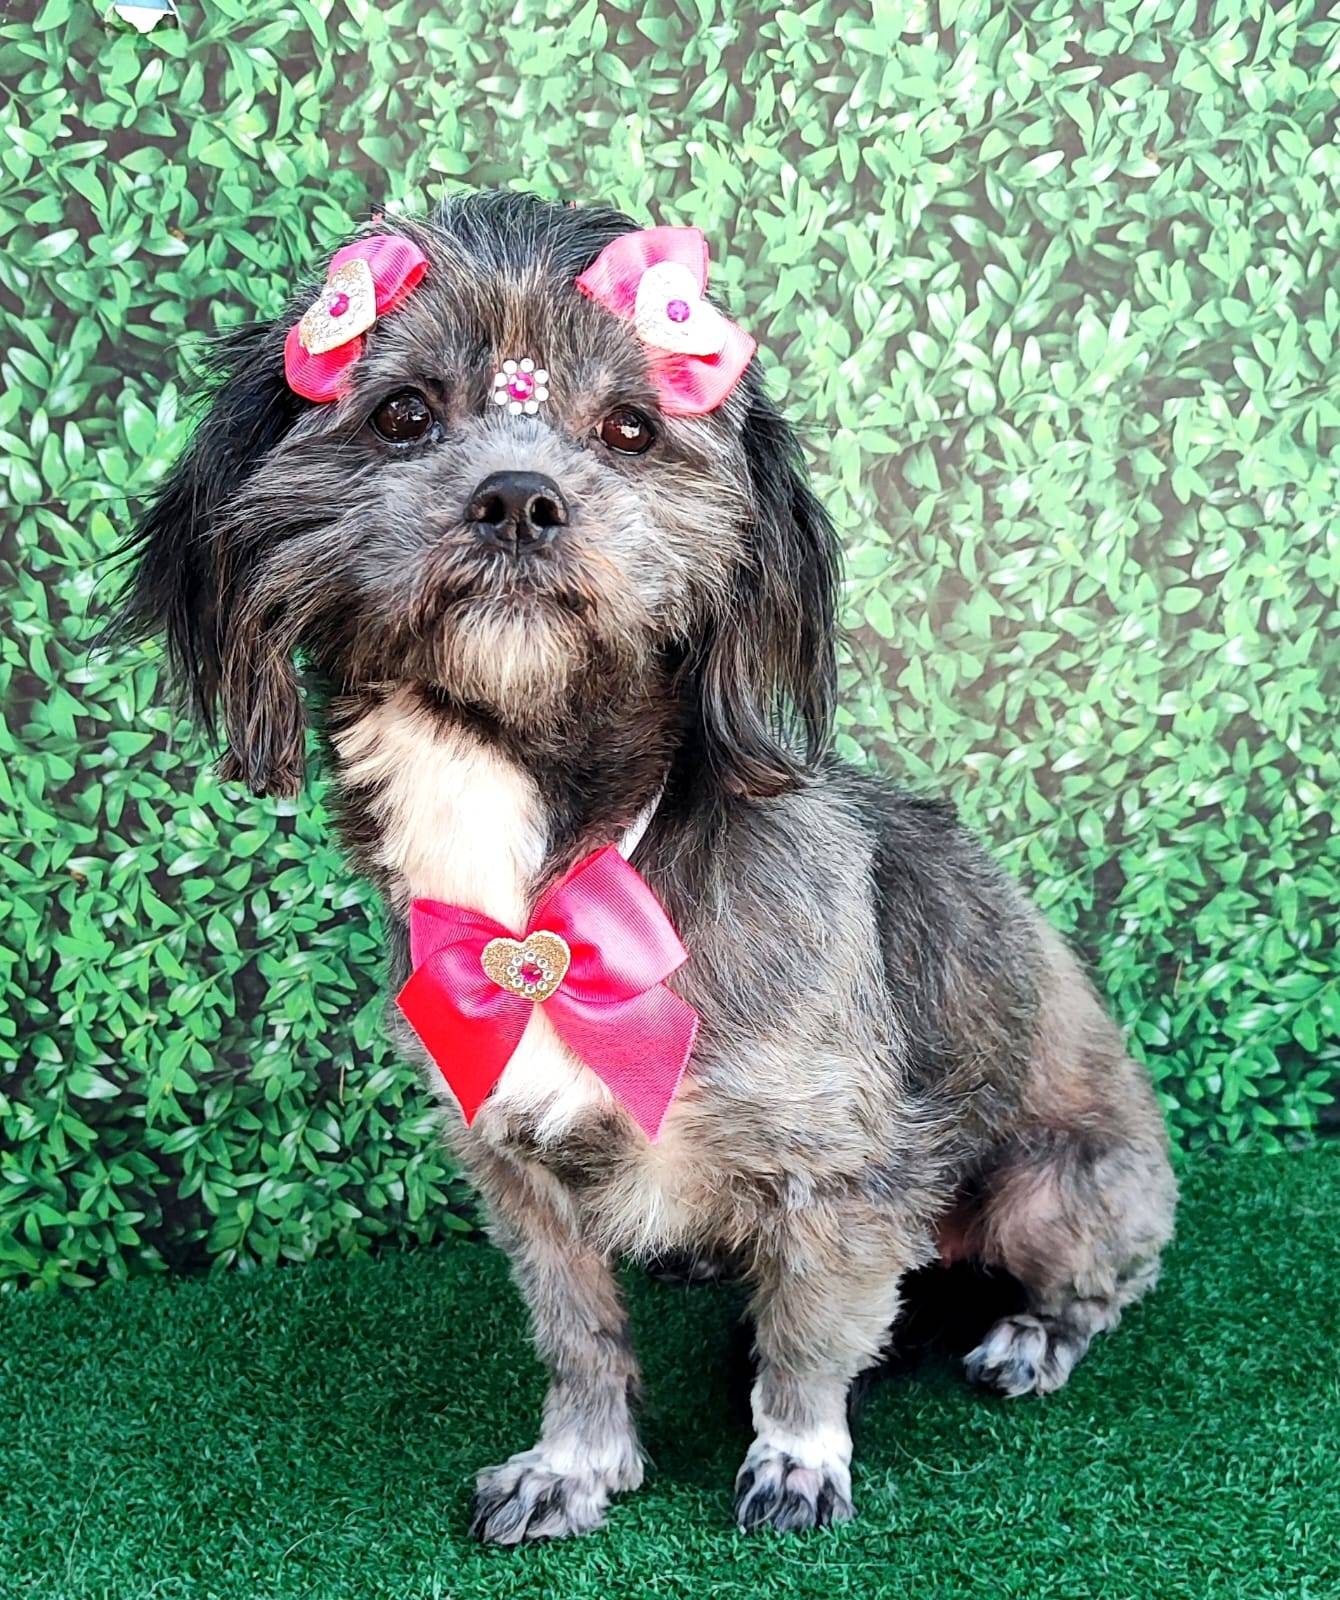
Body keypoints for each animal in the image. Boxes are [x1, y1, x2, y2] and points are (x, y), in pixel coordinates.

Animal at [115, 190, 1176, 1541]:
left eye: (628, 428)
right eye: (402, 413)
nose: (517, 499)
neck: (555, 878)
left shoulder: (843, 1174)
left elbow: (810, 1339)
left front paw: (796, 1454)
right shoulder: (517, 1170)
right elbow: (578, 1335)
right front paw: (573, 1464)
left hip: (1060, 1191)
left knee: (1095, 1288)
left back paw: (1030, 1336)